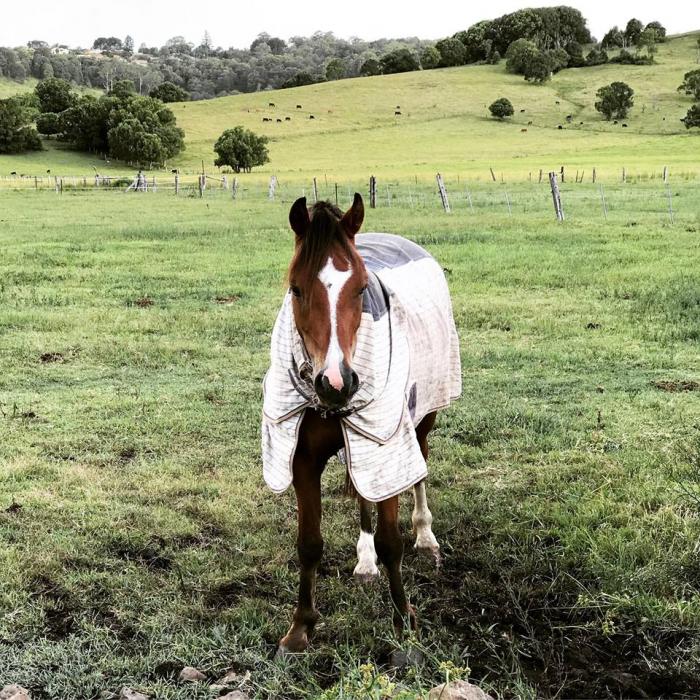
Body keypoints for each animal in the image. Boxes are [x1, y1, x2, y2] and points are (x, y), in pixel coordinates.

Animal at [262, 194, 461, 654]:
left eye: (361, 287)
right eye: (295, 288)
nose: (336, 382)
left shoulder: (388, 444)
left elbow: (392, 542)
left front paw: (404, 623)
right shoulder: (304, 459)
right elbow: (309, 543)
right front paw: (300, 627)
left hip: (420, 421)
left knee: (420, 471)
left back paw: (426, 538)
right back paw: (365, 559)